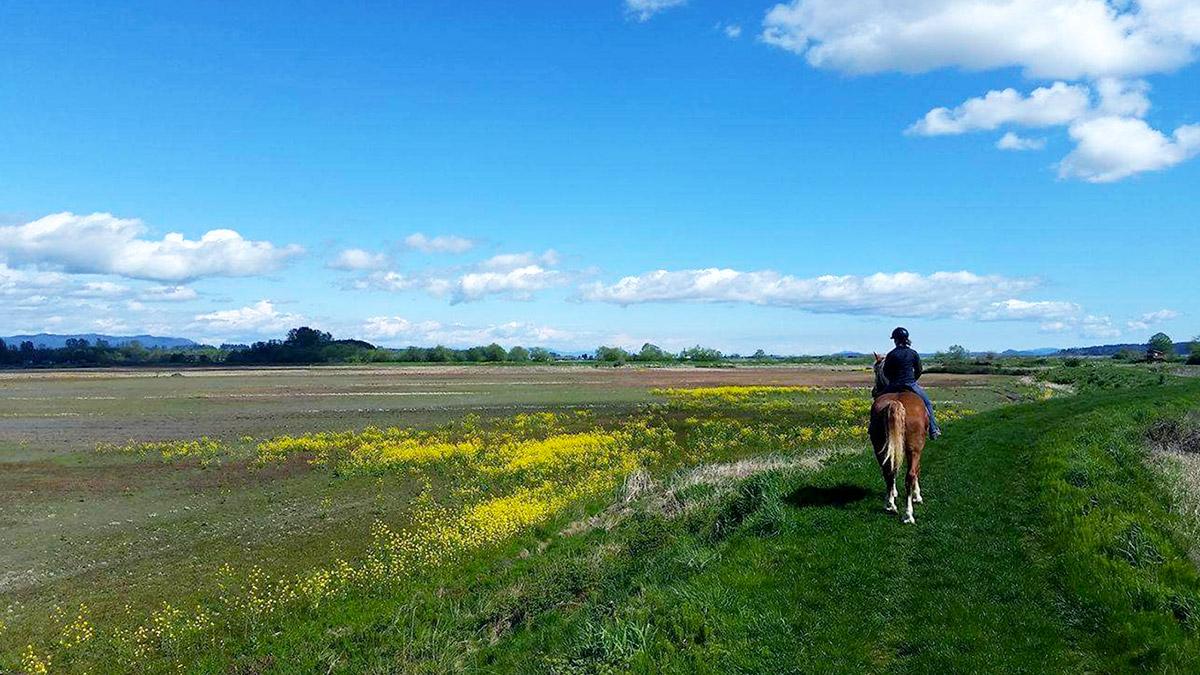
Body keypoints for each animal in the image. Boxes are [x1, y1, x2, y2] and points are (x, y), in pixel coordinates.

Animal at [873, 348, 926, 523]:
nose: (874, 391)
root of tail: (895, 403)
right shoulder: (917, 450)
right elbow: (917, 470)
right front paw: (917, 496)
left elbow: (894, 468)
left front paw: (893, 494)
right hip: (914, 449)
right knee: (910, 475)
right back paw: (908, 514)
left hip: (879, 446)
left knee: (887, 471)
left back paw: (890, 504)